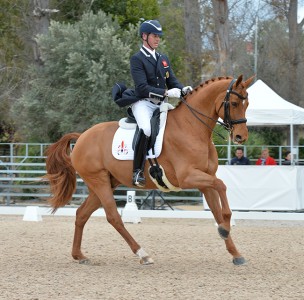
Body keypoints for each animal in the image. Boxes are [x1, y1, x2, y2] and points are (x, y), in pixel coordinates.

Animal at [45, 74, 254, 264]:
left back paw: (79, 255)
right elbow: (222, 186)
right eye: (234, 103)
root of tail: (82, 136)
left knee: (82, 214)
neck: (191, 127)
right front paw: (226, 226)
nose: (241, 137)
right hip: (99, 181)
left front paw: (235, 252)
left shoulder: (205, 179)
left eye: (247, 104)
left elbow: (217, 209)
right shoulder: (188, 177)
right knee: (113, 217)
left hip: (104, 183)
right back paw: (143, 254)